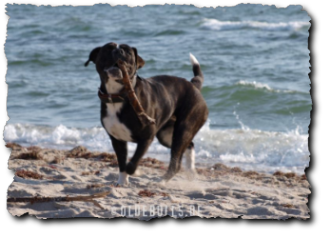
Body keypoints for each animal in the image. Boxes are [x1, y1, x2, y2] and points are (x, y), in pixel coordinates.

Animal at [85, 41, 209, 185]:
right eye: (108, 48)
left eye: (127, 51)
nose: (119, 52)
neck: (119, 95)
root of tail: (193, 85)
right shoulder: (117, 140)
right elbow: (122, 163)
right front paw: (122, 182)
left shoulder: (147, 137)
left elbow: (133, 162)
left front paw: (134, 171)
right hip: (167, 135)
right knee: (189, 145)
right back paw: (191, 171)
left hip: (183, 129)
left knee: (176, 162)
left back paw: (162, 181)